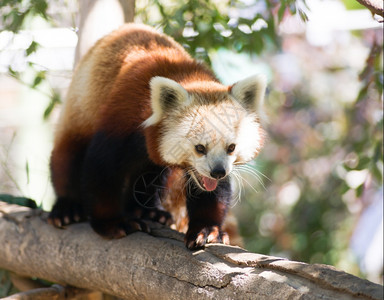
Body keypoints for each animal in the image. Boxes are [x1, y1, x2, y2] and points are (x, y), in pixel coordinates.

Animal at [48, 22, 266, 248]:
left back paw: (147, 211)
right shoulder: (120, 119)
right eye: (199, 148)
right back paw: (68, 208)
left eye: (231, 147)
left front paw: (207, 229)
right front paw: (112, 223)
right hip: (78, 113)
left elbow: (211, 191)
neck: (188, 75)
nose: (218, 172)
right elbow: (101, 170)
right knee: (67, 158)